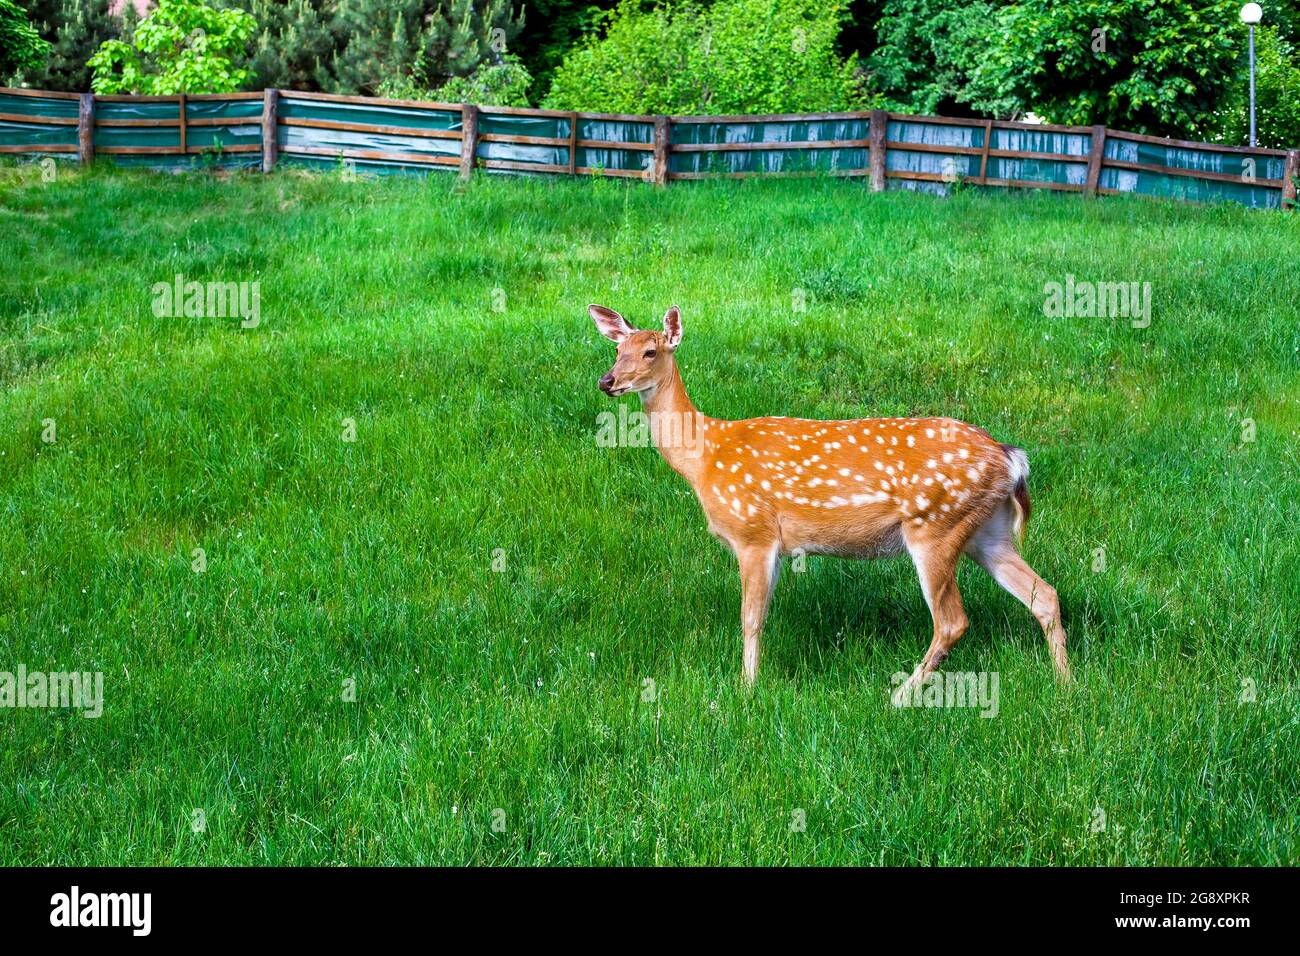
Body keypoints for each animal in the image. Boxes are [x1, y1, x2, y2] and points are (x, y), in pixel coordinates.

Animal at [590, 304, 1070, 702]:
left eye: (650, 351)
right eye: (616, 348)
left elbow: (751, 619)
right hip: (986, 530)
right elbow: (760, 615)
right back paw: (1066, 684)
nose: (607, 381)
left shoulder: (753, 532)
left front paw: (745, 691)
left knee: (953, 621)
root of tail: (1011, 458)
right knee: (1043, 594)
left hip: (935, 524)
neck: (704, 455)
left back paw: (899, 697)